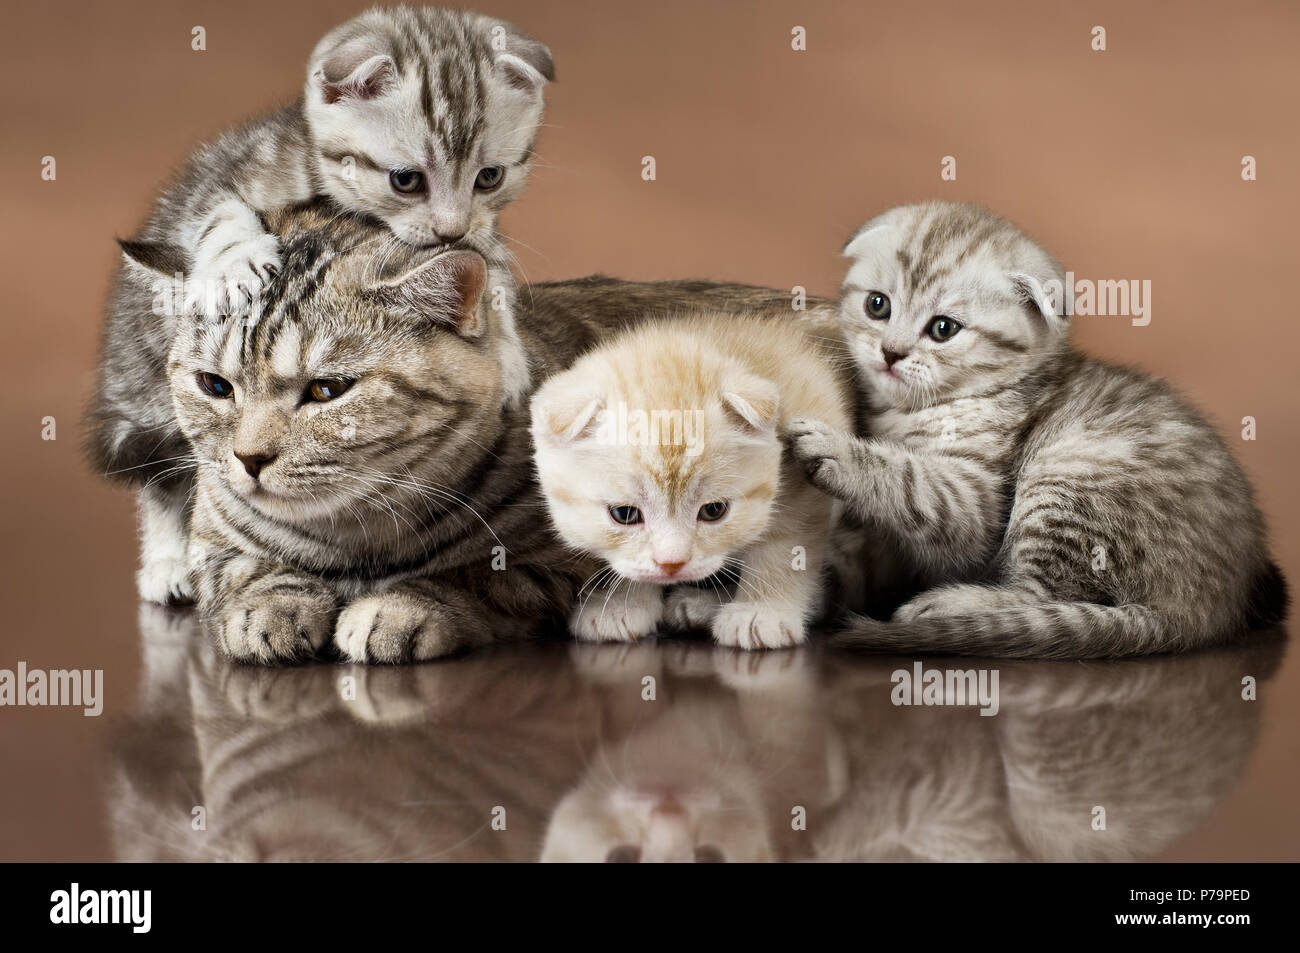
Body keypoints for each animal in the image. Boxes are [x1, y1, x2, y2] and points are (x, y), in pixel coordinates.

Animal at [81, 5, 548, 603]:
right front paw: (236, 260)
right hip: (143, 386)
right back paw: (167, 560)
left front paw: (508, 355)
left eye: (489, 177)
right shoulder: (242, 186)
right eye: (406, 180)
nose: (450, 230)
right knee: (166, 467)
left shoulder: (479, 234)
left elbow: (492, 274)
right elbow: (222, 218)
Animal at [122, 200, 811, 660]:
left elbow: (473, 578)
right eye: (216, 386)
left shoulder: (553, 564)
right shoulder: (217, 538)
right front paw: (272, 603)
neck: (354, 538)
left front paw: (403, 606)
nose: (249, 459)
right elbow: (245, 570)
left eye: (326, 390)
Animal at [527, 315, 852, 650]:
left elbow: (785, 545)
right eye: (625, 514)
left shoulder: (805, 475)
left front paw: (762, 609)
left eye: (714, 511)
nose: (672, 564)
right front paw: (623, 604)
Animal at [785, 200, 1284, 657]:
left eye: (943, 328)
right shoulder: (884, 546)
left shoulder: (977, 502)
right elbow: (858, 556)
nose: (891, 352)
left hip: (1067, 475)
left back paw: (950, 604)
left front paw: (836, 449)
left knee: (1043, 596)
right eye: (878, 305)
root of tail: (1204, 609)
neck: (909, 413)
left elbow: (913, 481)